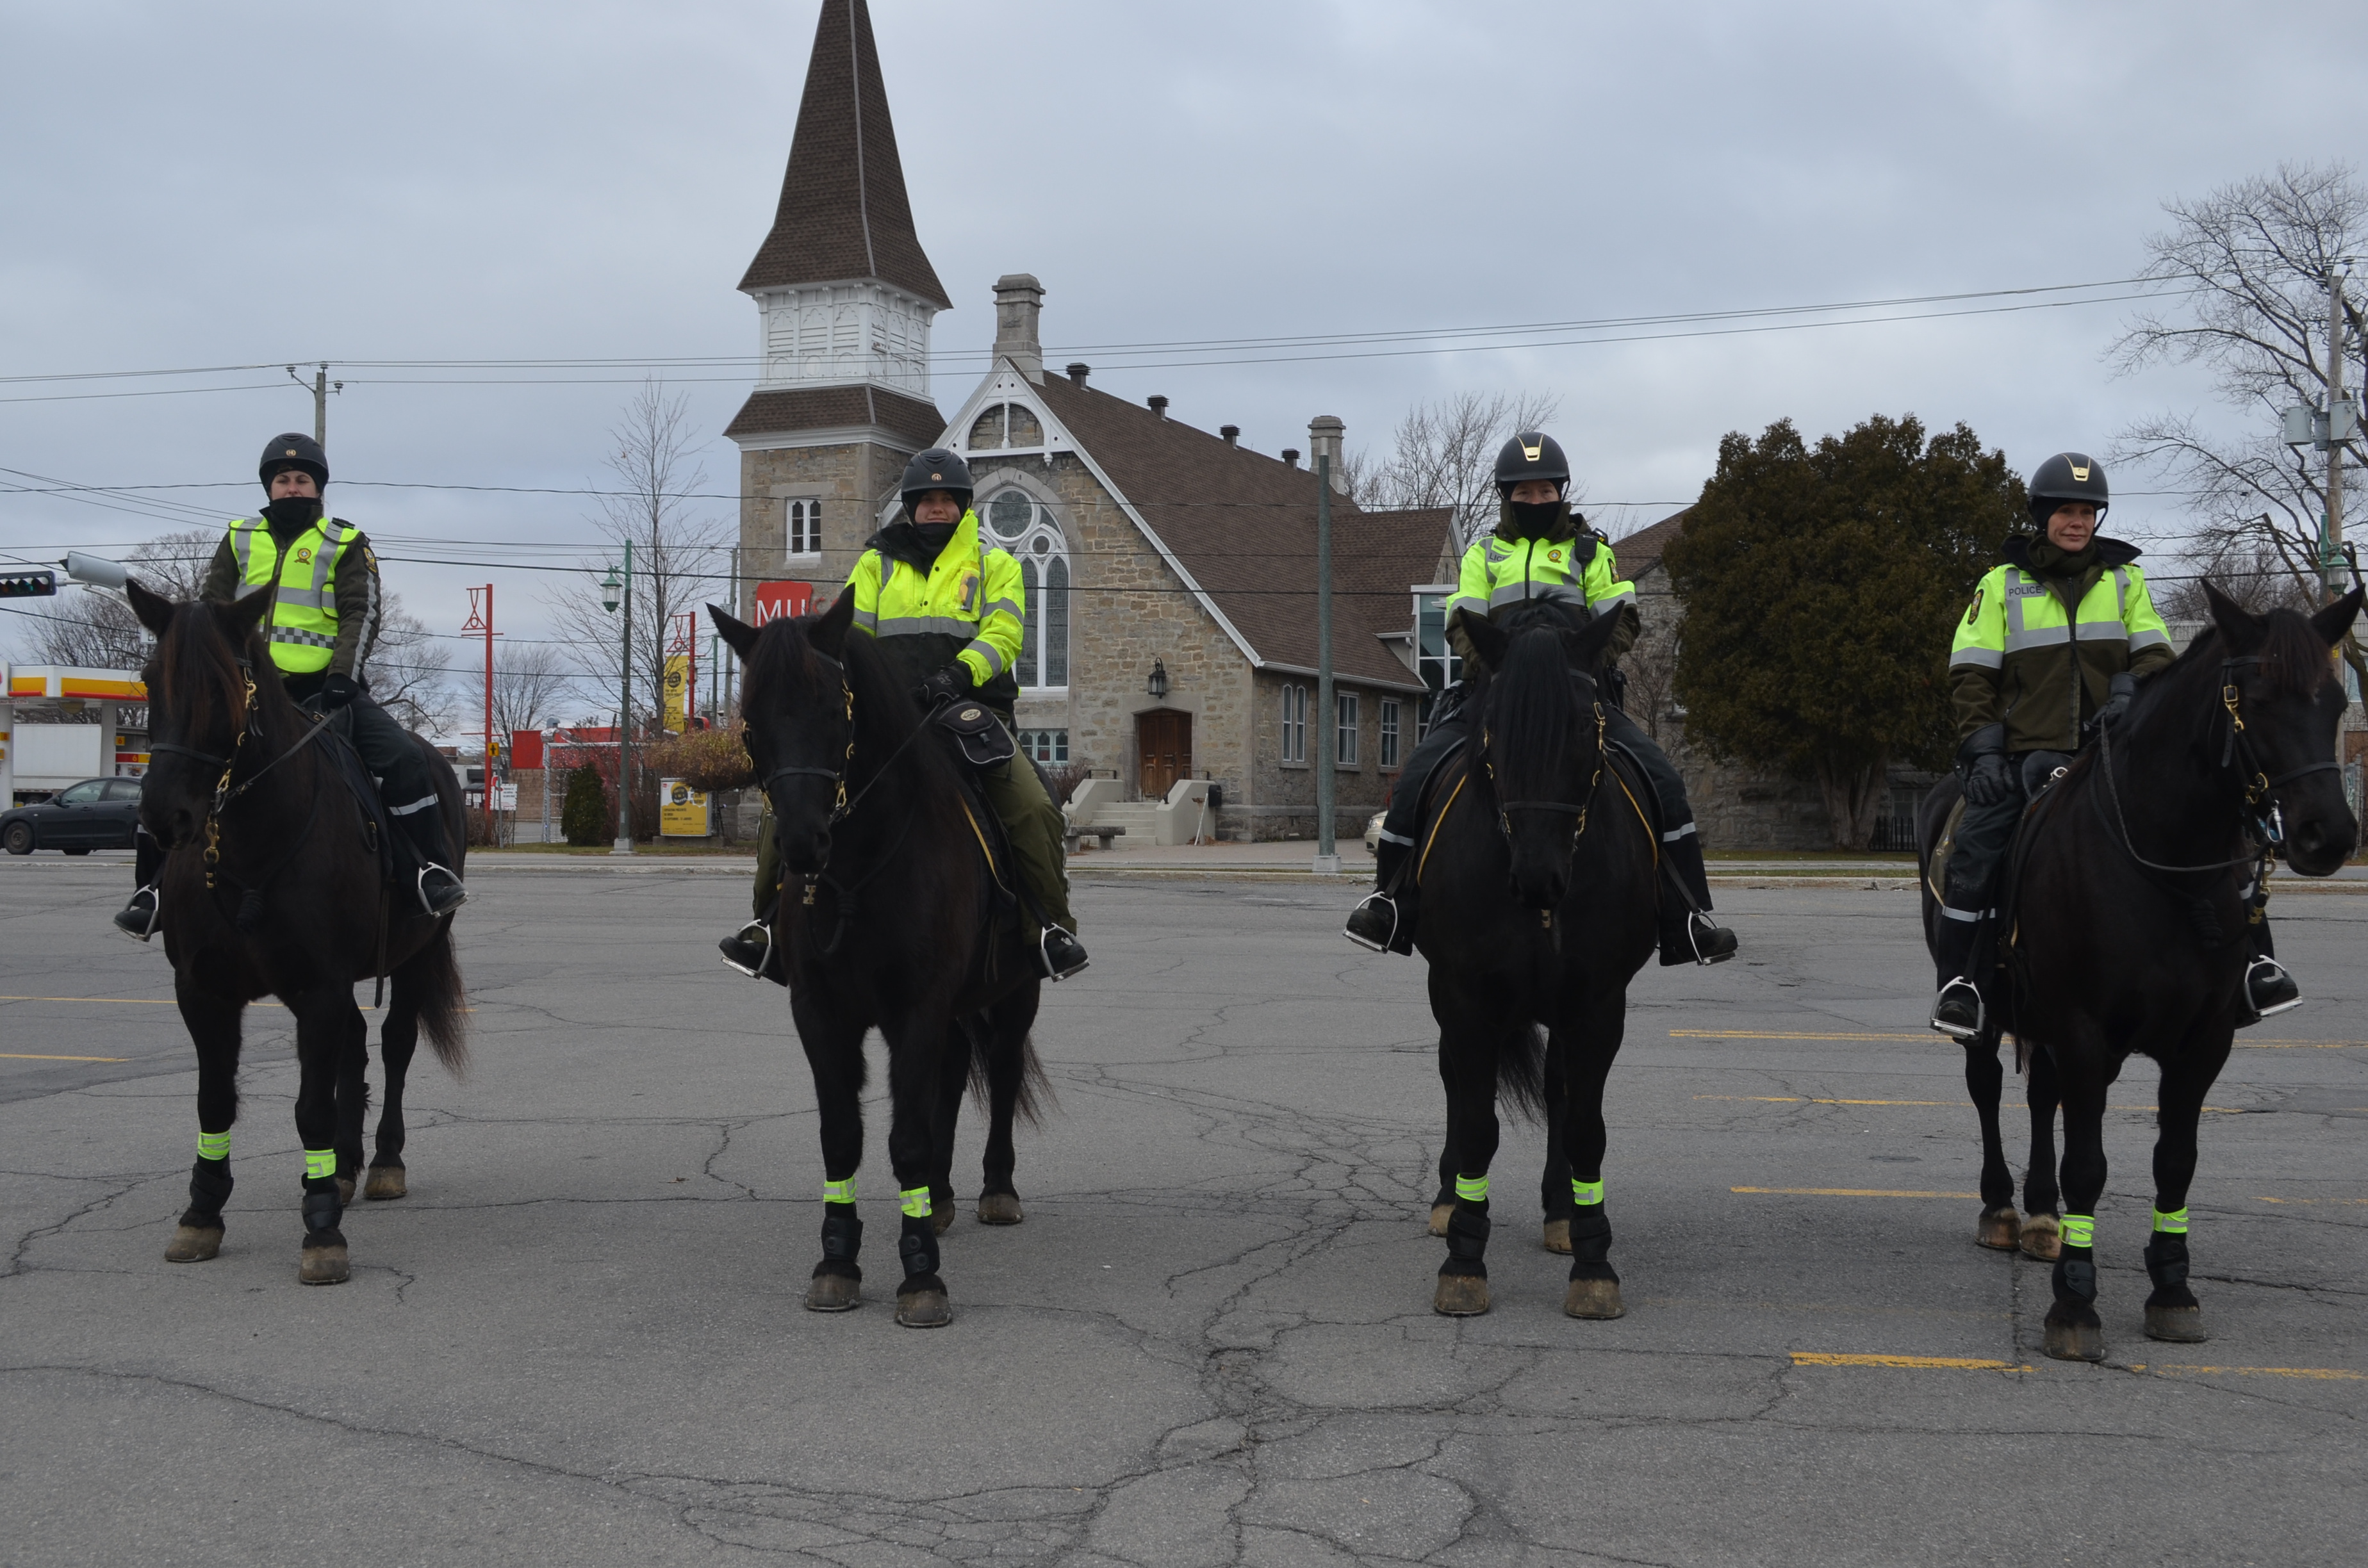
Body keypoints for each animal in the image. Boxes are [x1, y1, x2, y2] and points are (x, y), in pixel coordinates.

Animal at [127, 581, 467, 1285]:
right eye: (148, 678)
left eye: (225, 684)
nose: (165, 816)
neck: (246, 847)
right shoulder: (203, 991)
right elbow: (214, 1101)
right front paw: (202, 1214)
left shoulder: (319, 987)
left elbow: (310, 1106)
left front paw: (321, 1231)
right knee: (356, 1047)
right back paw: (342, 1167)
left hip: (414, 956)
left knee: (394, 1046)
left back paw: (383, 1162)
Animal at [709, 592, 1049, 1329]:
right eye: (751, 720)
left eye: (834, 710)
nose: (803, 841)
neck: (858, 871)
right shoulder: (820, 1011)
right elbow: (843, 1135)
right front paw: (837, 1261)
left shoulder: (917, 1006)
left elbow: (908, 1139)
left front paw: (921, 1274)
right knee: (952, 1077)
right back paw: (942, 1196)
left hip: (1014, 996)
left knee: (1003, 1071)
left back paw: (996, 1190)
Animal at [1410, 601, 1663, 1319]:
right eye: (1493, 730)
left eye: (1583, 727)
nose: (1538, 877)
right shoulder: (1465, 996)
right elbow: (1475, 1123)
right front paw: (1464, 1260)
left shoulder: (1599, 1005)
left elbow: (1585, 1127)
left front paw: (1594, 1262)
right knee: (1455, 1083)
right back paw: (1449, 1201)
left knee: (1558, 1091)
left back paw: (1560, 1214)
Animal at [1918, 582, 2361, 1361]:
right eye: (2255, 698)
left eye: (2335, 701)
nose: (2328, 834)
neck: (2163, 865)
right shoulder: (2084, 1031)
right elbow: (2089, 1165)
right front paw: (2074, 1303)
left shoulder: (2203, 1041)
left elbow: (2174, 1160)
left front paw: (2172, 1288)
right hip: (1992, 1014)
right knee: (1987, 1088)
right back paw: (2003, 1207)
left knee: (2042, 1099)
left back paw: (2042, 1216)